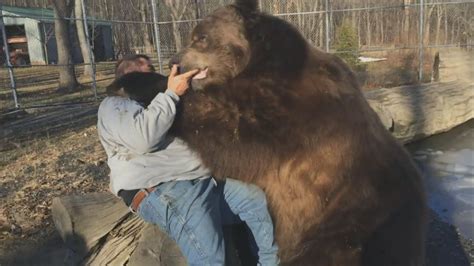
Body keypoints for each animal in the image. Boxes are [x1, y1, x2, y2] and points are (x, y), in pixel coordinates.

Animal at [110, 0, 426, 262]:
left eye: (201, 37)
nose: (174, 60)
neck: (259, 66)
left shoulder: (294, 117)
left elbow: (230, 134)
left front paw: (136, 79)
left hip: (347, 219)